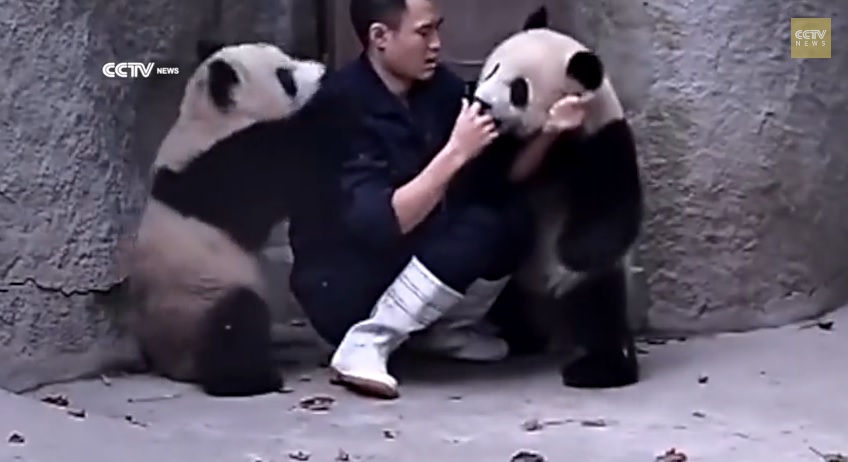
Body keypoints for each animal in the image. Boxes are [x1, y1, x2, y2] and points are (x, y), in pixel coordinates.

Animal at [125, 39, 348, 398]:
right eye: (286, 77)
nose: (322, 71)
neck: (208, 118)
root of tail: (169, 366)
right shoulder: (222, 170)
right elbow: (283, 166)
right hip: (198, 302)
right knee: (236, 321)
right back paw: (251, 378)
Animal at [474, 6, 644, 390]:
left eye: (518, 89)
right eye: (492, 68)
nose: (481, 103)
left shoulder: (602, 139)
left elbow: (613, 207)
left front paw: (573, 252)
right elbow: (484, 184)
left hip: (588, 283)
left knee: (597, 307)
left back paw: (599, 369)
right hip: (515, 280)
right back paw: (511, 336)